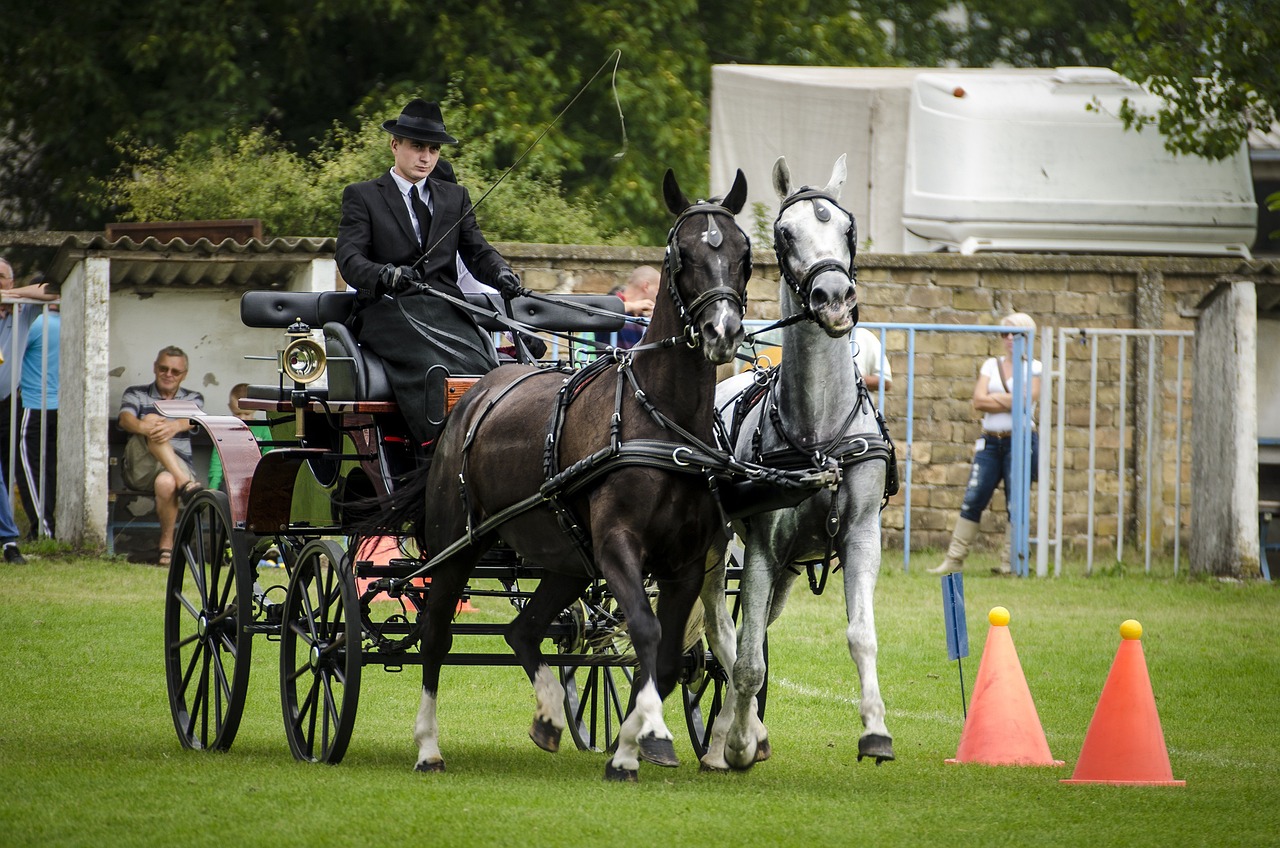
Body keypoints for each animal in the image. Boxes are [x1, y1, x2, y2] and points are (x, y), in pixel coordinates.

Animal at [404, 171, 752, 783]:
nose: (723, 330)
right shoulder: (617, 545)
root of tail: (475, 392)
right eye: (681, 255)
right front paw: (650, 735)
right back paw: (428, 746)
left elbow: (667, 655)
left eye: (743, 253)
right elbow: (645, 630)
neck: (658, 421)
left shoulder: (685, 564)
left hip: (566, 559)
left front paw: (632, 744)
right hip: (455, 545)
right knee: (437, 634)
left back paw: (547, 716)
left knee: (523, 629)